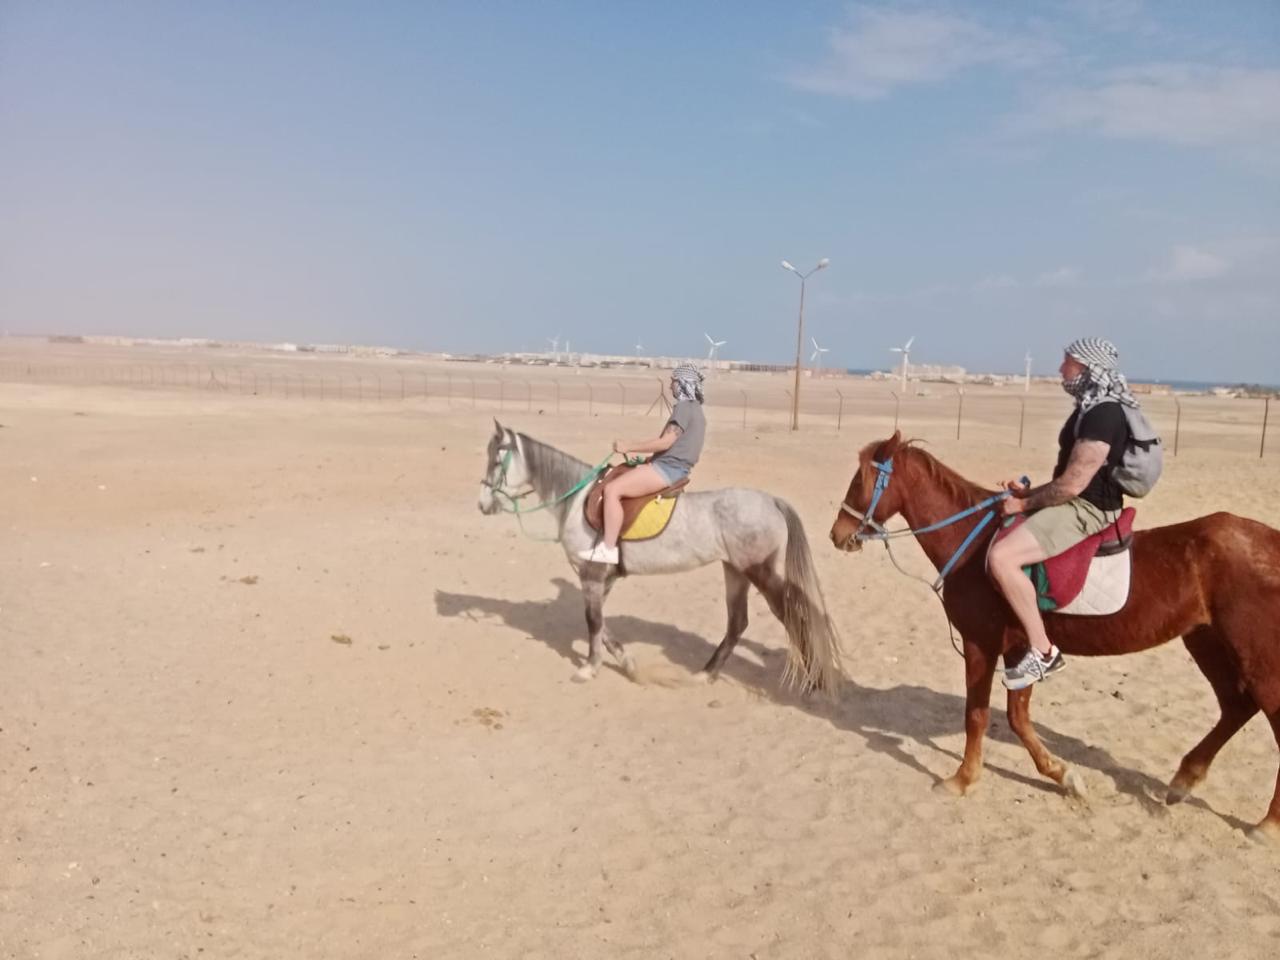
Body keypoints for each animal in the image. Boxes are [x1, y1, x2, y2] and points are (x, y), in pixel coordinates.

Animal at [476, 420, 842, 693]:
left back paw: (813, 678)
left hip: (761, 573)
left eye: (495, 461)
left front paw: (589, 668)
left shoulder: (591, 575)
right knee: (738, 623)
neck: (578, 500)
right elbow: (602, 625)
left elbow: (593, 622)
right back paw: (705, 674)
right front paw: (628, 664)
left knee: (794, 615)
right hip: (735, 571)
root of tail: (771, 501)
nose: (482, 504)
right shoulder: (601, 579)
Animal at [828, 432, 1280, 840]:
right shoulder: (1018, 649)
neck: (973, 544)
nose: (837, 534)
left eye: (859, 480)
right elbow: (1017, 718)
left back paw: (1267, 823)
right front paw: (1063, 775)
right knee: (1236, 707)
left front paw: (962, 778)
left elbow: (977, 715)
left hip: (1254, 655)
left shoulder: (981, 644)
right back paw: (1183, 780)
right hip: (1207, 642)